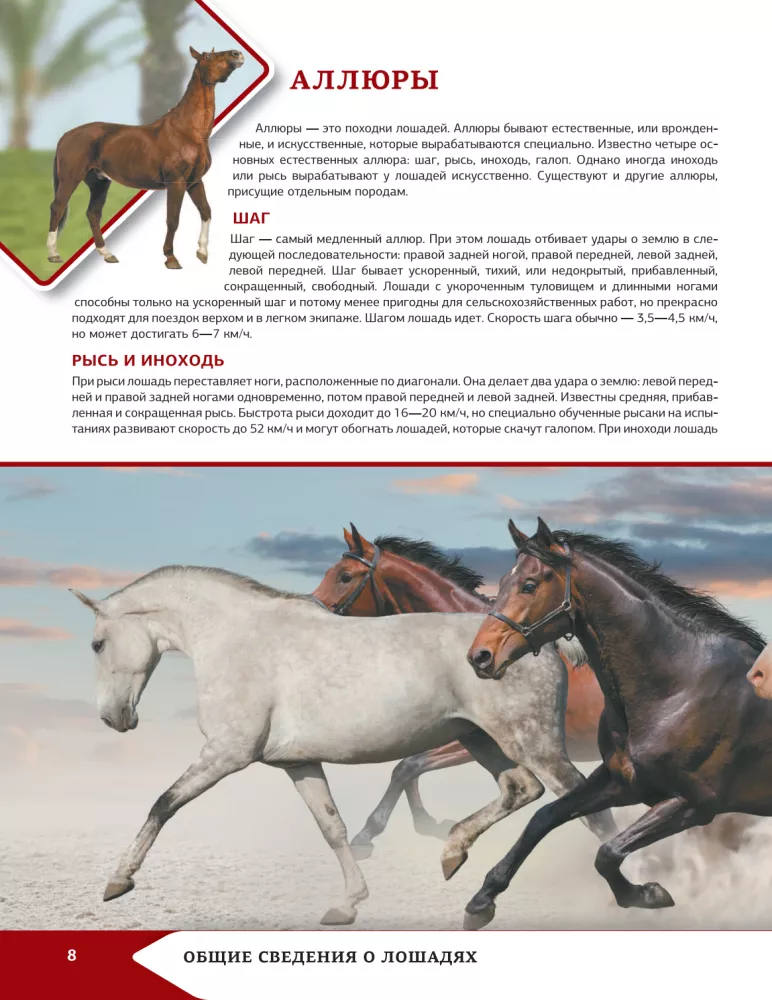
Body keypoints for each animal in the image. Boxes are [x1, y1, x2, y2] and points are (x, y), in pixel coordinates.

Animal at [47, 47, 243, 269]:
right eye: (208, 56)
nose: (237, 54)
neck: (187, 131)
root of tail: (66, 135)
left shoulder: (195, 182)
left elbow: (206, 212)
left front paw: (202, 253)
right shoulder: (176, 182)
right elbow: (173, 219)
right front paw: (171, 258)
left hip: (99, 182)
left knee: (93, 214)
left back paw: (107, 254)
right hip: (70, 178)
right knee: (58, 207)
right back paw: (53, 254)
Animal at [70, 564, 617, 925]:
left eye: (97, 644)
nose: (113, 718)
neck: (237, 639)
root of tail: (542, 642)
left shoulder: (227, 754)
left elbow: (163, 803)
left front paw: (118, 881)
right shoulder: (298, 763)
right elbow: (332, 828)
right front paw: (347, 903)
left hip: (533, 741)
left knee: (585, 807)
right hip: (483, 741)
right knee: (521, 790)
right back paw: (454, 853)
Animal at [462, 518, 769, 930]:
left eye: (530, 584)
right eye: (503, 581)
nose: (480, 656)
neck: (678, 688)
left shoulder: (693, 803)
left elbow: (607, 852)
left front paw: (648, 894)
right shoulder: (620, 783)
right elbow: (543, 818)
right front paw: (482, 900)